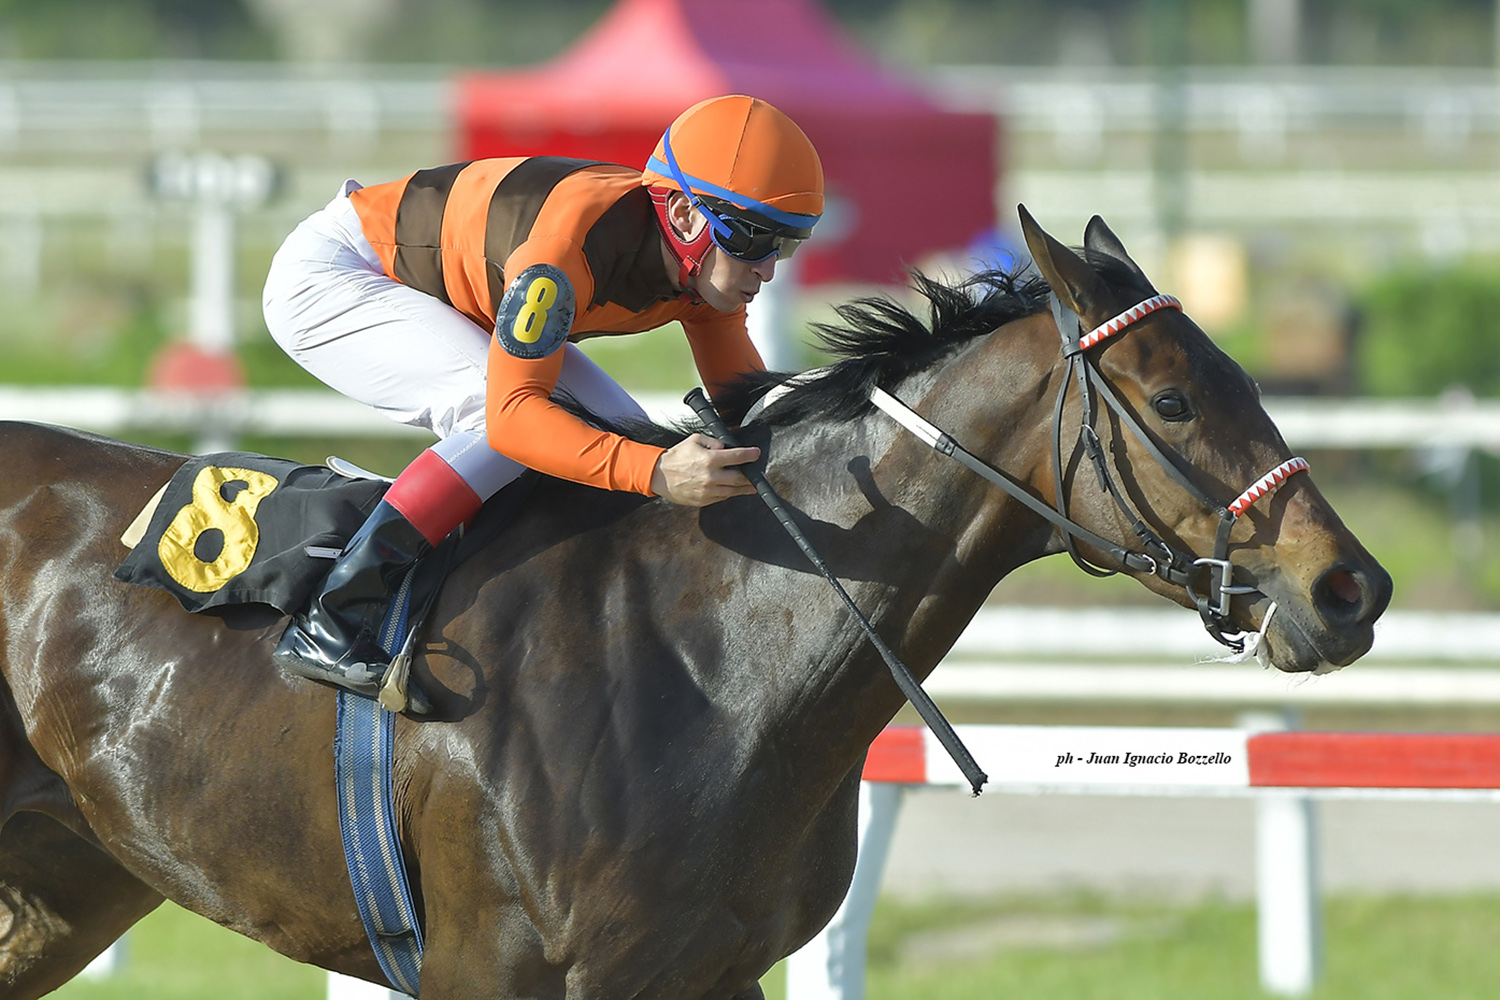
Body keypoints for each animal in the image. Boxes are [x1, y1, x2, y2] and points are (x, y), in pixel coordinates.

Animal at [0, 209, 1389, 999]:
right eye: (1173, 400)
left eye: (1244, 375)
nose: (1352, 586)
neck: (707, 662)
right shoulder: (489, 971)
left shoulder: (714, 970)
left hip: (71, 881)